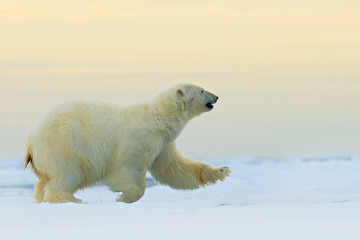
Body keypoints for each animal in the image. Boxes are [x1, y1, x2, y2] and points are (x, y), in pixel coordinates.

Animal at [24, 83, 231, 203]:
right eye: (202, 90)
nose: (216, 96)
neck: (159, 118)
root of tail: (32, 139)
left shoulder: (163, 144)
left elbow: (173, 168)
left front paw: (221, 171)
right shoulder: (138, 139)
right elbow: (129, 167)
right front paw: (125, 196)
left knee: (45, 182)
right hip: (64, 144)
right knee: (67, 174)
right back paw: (70, 199)